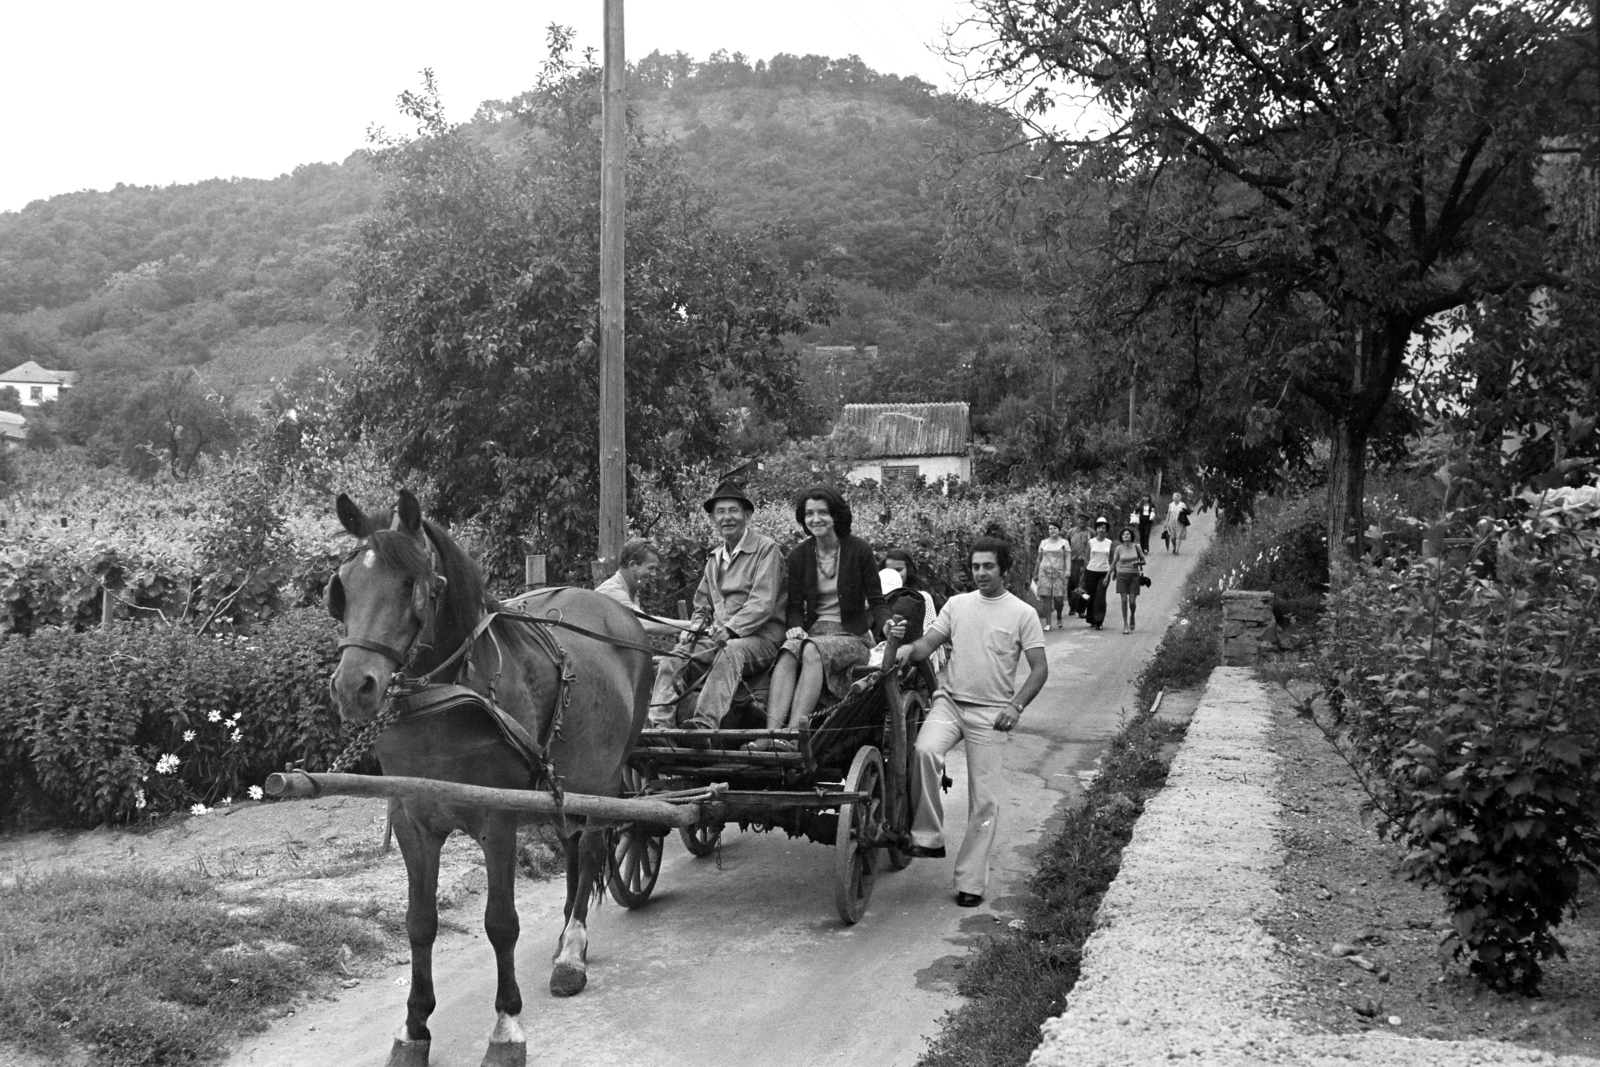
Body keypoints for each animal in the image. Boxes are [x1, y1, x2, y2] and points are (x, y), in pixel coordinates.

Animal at [324, 492, 649, 1067]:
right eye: (342, 586)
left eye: (413, 584)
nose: (353, 687)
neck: (446, 694)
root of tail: (620, 613)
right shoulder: (412, 819)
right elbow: (419, 922)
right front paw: (414, 1028)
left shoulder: (498, 818)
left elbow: (501, 923)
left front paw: (506, 1026)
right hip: (566, 779)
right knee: (571, 845)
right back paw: (567, 938)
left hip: (610, 776)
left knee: (591, 849)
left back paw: (572, 953)